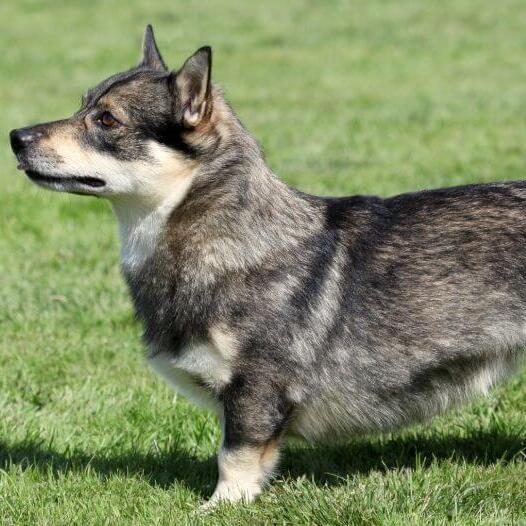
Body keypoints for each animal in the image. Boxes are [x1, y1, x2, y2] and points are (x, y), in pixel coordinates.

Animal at [10, 25, 526, 508]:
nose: (15, 137)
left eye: (107, 119)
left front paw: (219, 507)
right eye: (82, 105)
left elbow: (233, 456)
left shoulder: (255, 388)